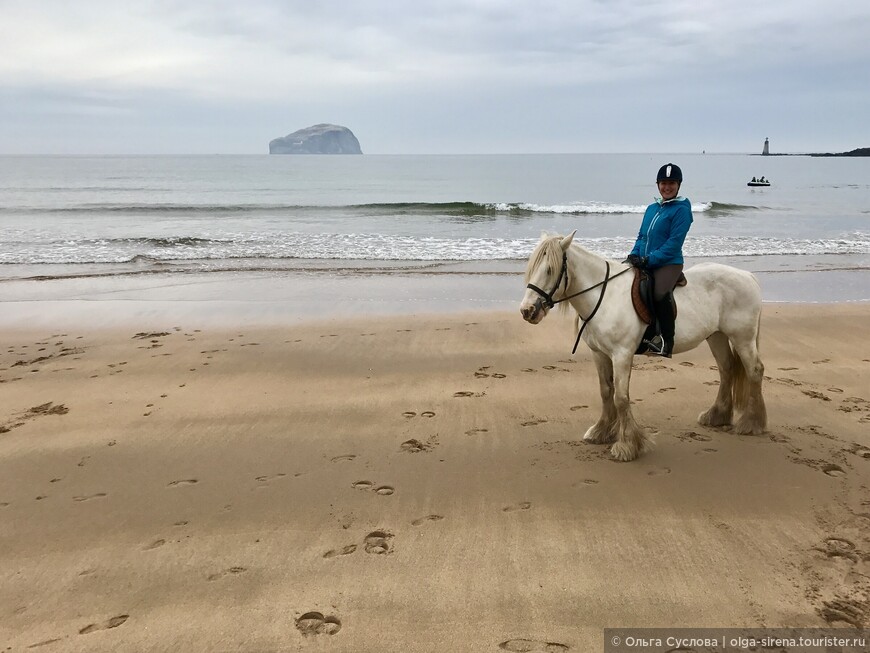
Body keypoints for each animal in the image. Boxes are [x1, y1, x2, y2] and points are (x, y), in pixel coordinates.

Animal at [520, 232, 768, 460]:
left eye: (550, 270)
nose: (527, 311)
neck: (605, 296)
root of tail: (747, 276)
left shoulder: (621, 354)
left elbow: (621, 398)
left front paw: (627, 445)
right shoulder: (600, 354)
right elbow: (606, 391)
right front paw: (601, 432)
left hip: (742, 337)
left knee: (754, 371)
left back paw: (752, 423)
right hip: (716, 336)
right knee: (726, 370)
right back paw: (716, 416)